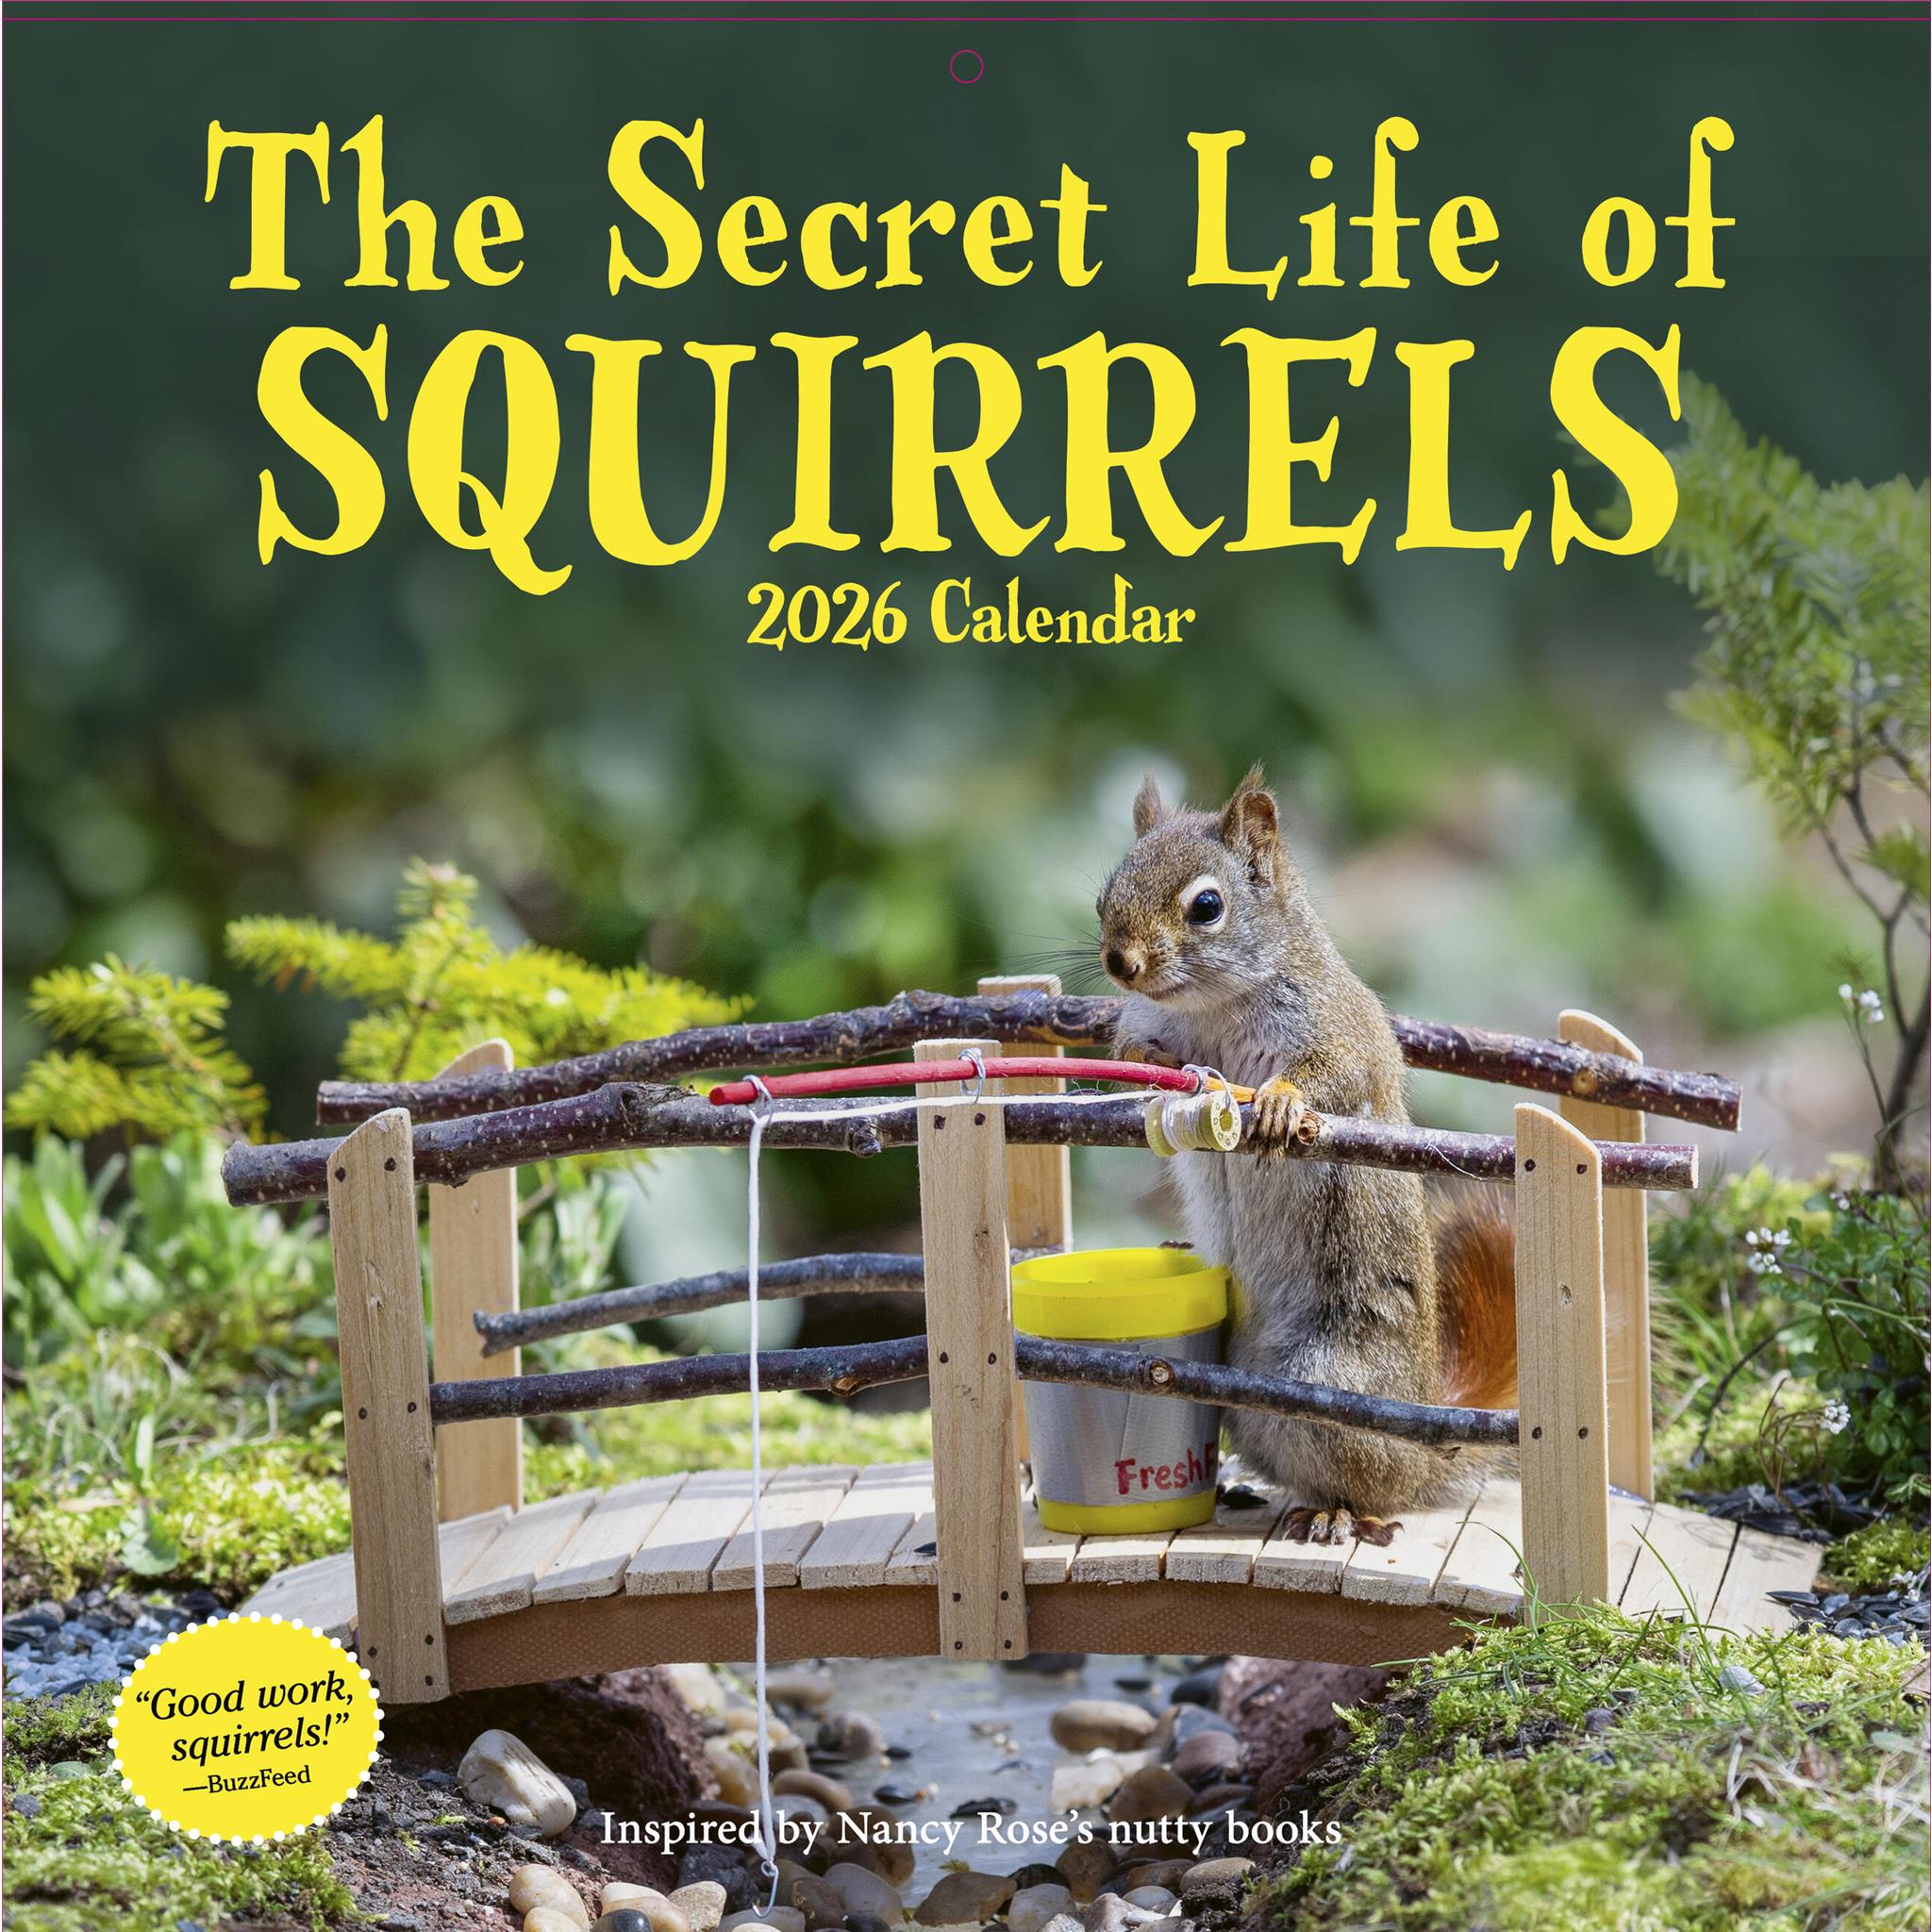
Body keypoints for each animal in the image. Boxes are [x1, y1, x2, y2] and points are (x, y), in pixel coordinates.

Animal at [1098, 765, 1517, 1546]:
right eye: (1107, 891)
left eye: (1207, 906)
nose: (1121, 963)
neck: (1211, 1007)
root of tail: (1422, 1451)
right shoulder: (1147, 1023)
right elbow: (1134, 1055)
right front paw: (1150, 1072)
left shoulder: (1341, 1031)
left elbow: (1336, 1075)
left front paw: (1282, 1103)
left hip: (1333, 1384)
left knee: (1373, 1487)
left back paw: (1338, 1512)